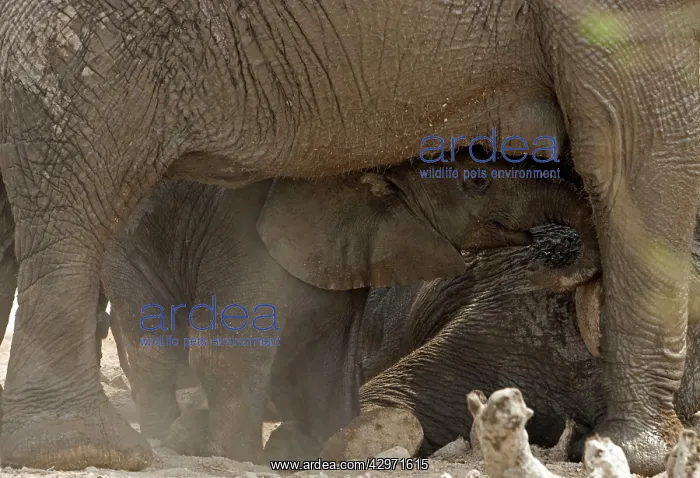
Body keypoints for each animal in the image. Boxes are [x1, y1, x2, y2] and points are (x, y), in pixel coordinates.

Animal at [102, 155, 598, 464]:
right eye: (477, 181)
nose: (560, 254)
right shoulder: (244, 245)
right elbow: (228, 352)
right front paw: (239, 457)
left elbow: (331, 362)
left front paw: (308, 447)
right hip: (130, 248)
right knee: (152, 346)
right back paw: (167, 436)